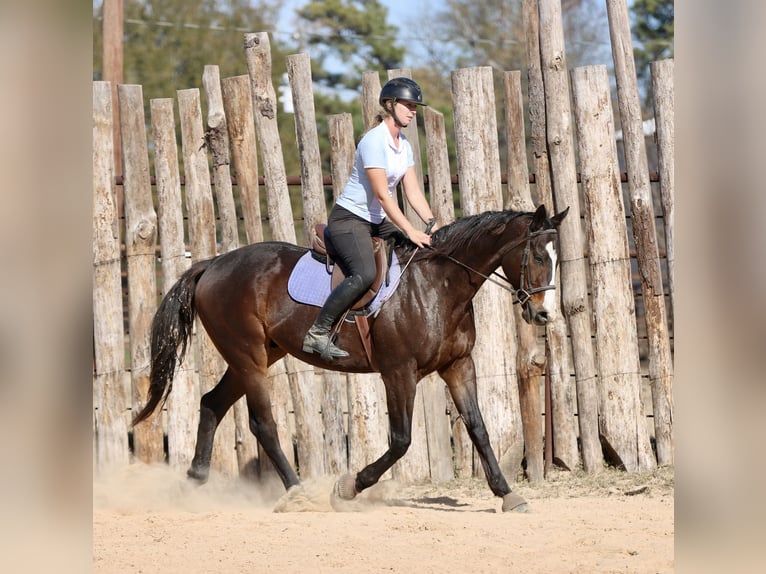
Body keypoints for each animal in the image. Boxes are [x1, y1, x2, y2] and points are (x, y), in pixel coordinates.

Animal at [132, 204, 568, 512]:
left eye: (556, 257)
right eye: (538, 256)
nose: (544, 315)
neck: (438, 285)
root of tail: (212, 265)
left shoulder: (458, 366)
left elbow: (478, 428)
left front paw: (507, 494)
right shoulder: (399, 372)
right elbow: (401, 441)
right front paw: (347, 488)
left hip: (255, 357)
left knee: (212, 403)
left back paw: (195, 480)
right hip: (248, 358)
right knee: (263, 425)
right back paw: (298, 493)